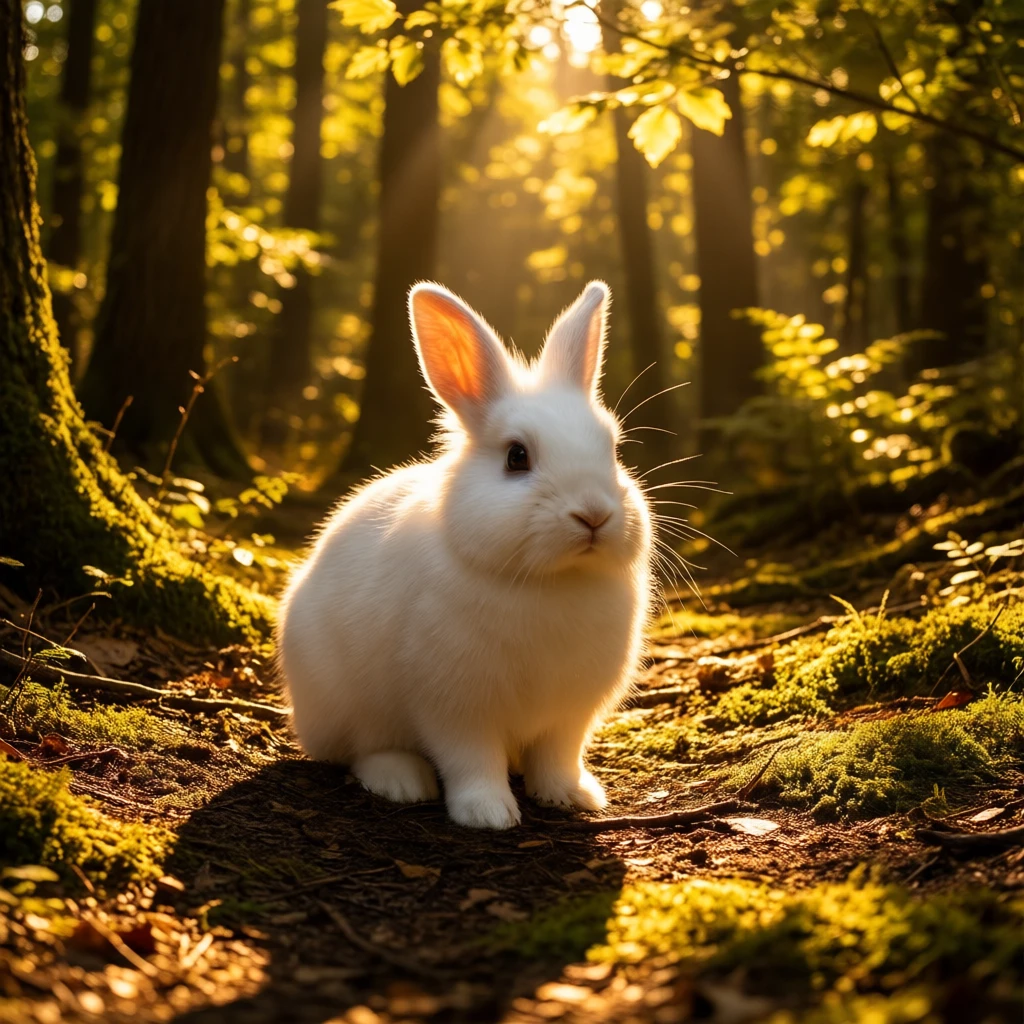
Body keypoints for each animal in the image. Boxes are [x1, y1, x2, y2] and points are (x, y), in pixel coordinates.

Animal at [277, 280, 654, 829]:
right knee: (362, 750)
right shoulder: (456, 707)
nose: (593, 514)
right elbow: (470, 759)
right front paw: (488, 813)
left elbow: (558, 756)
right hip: (343, 701)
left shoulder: (569, 714)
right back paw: (401, 781)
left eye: (613, 450)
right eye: (517, 457)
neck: (550, 581)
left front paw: (574, 796)